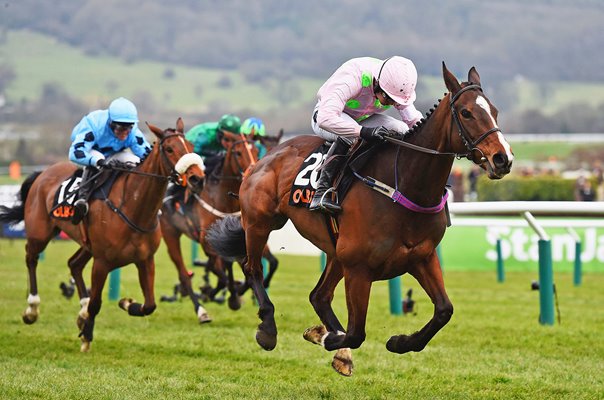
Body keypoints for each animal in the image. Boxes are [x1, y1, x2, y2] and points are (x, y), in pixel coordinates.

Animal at [0, 117, 205, 352]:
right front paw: (87, 336)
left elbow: (149, 305)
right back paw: (32, 308)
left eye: (190, 146)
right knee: (31, 258)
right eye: (170, 149)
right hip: (39, 233)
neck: (134, 208)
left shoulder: (145, 260)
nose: (197, 179)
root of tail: (42, 174)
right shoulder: (102, 262)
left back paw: (81, 311)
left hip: (87, 245)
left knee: (74, 264)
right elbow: (97, 303)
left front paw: (125, 303)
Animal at [159, 130, 264, 324]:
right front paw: (231, 297)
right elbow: (222, 271)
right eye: (238, 153)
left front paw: (234, 291)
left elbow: (233, 266)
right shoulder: (206, 240)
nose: (254, 173)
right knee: (185, 272)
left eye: (255, 150)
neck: (221, 197)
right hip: (170, 234)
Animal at [209, 63, 516, 376]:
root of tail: (263, 158)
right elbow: (356, 332)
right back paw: (268, 328)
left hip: (335, 251)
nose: (502, 159)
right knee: (253, 268)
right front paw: (326, 338)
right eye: (466, 112)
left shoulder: (422, 256)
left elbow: (444, 310)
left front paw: (399, 342)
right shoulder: (359, 269)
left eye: (494, 110)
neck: (403, 186)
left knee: (318, 295)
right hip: (260, 223)